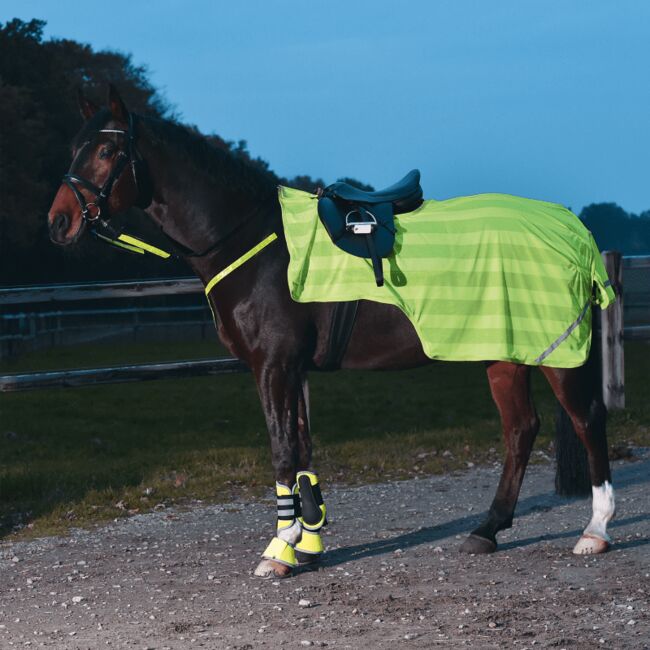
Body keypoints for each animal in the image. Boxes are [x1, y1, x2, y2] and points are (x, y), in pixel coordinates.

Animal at [47, 85, 615, 579]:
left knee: (587, 419)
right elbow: (301, 449)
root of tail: (573, 229)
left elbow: (282, 451)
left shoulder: (273, 367)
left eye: (105, 150)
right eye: (75, 148)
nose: (59, 222)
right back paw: (487, 530)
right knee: (520, 430)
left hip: (557, 355)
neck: (252, 240)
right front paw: (309, 544)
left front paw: (279, 550)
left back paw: (595, 530)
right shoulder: (293, 369)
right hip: (504, 353)